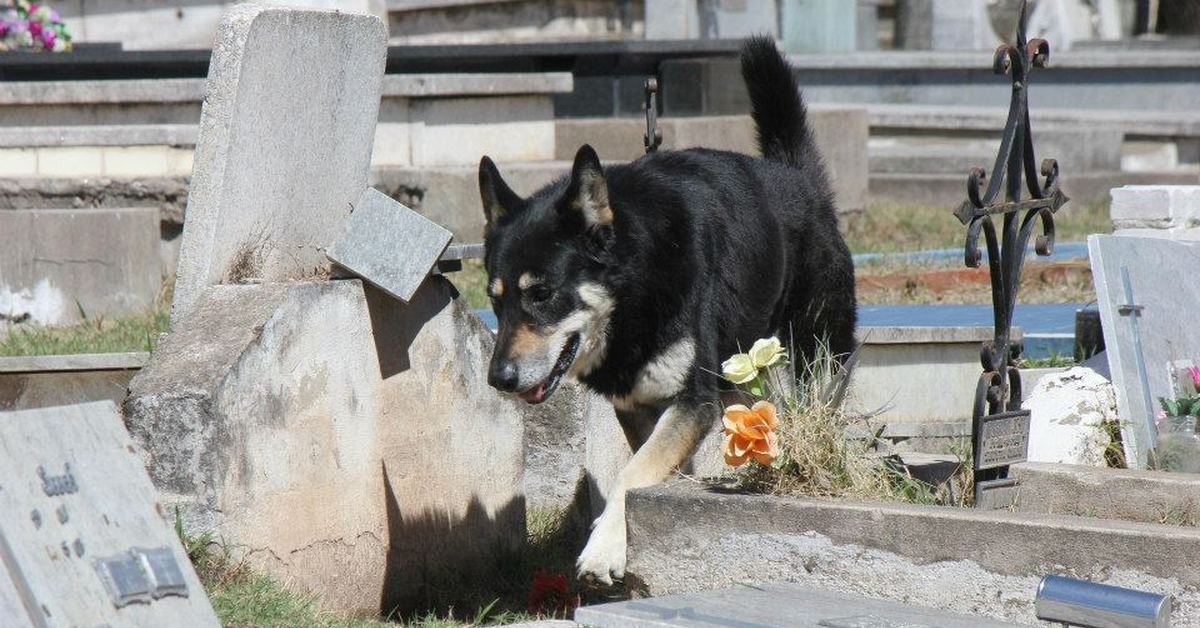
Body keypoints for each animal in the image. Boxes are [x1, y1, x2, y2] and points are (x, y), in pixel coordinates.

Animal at [475, 35, 854, 585]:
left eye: (542, 293)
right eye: (494, 298)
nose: (498, 379)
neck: (637, 285)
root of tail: (797, 177)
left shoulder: (691, 399)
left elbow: (630, 476)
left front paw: (604, 547)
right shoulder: (640, 405)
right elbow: (644, 466)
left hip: (818, 359)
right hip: (740, 369)